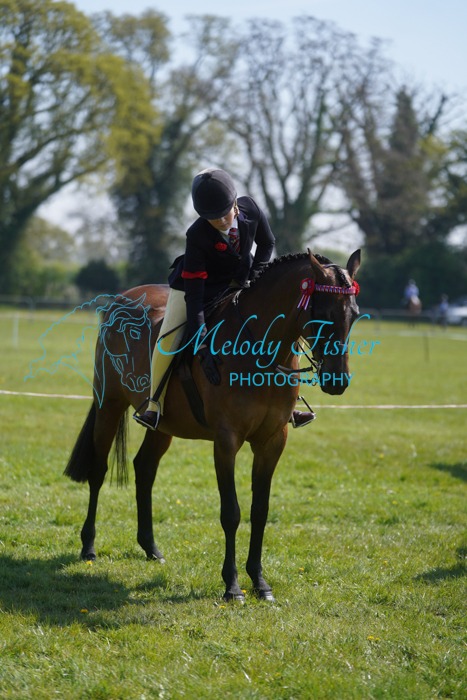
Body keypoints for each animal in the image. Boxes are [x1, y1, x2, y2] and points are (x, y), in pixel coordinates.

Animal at [65, 249, 361, 602]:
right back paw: (89, 546)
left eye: (355, 315)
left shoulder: (273, 440)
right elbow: (231, 513)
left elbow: (260, 511)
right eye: (324, 314)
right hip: (109, 403)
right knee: (98, 472)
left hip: (163, 426)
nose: (337, 381)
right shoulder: (226, 441)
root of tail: (122, 299)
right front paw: (232, 586)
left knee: (144, 468)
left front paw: (259, 582)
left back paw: (151, 548)